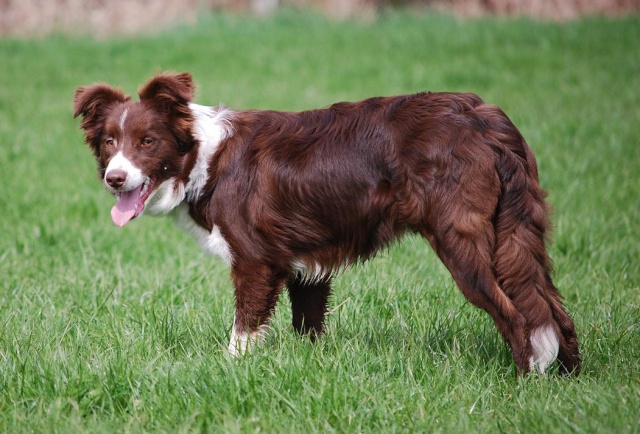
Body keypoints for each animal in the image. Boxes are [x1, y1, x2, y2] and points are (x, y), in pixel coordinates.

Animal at [74, 73, 580, 374]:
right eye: (110, 141)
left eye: (148, 141)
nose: (114, 178)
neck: (202, 157)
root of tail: (487, 118)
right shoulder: (304, 267)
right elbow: (308, 326)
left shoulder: (257, 262)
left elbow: (243, 330)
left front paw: (229, 370)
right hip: (518, 235)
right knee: (554, 311)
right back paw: (567, 379)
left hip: (463, 242)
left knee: (517, 316)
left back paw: (524, 383)